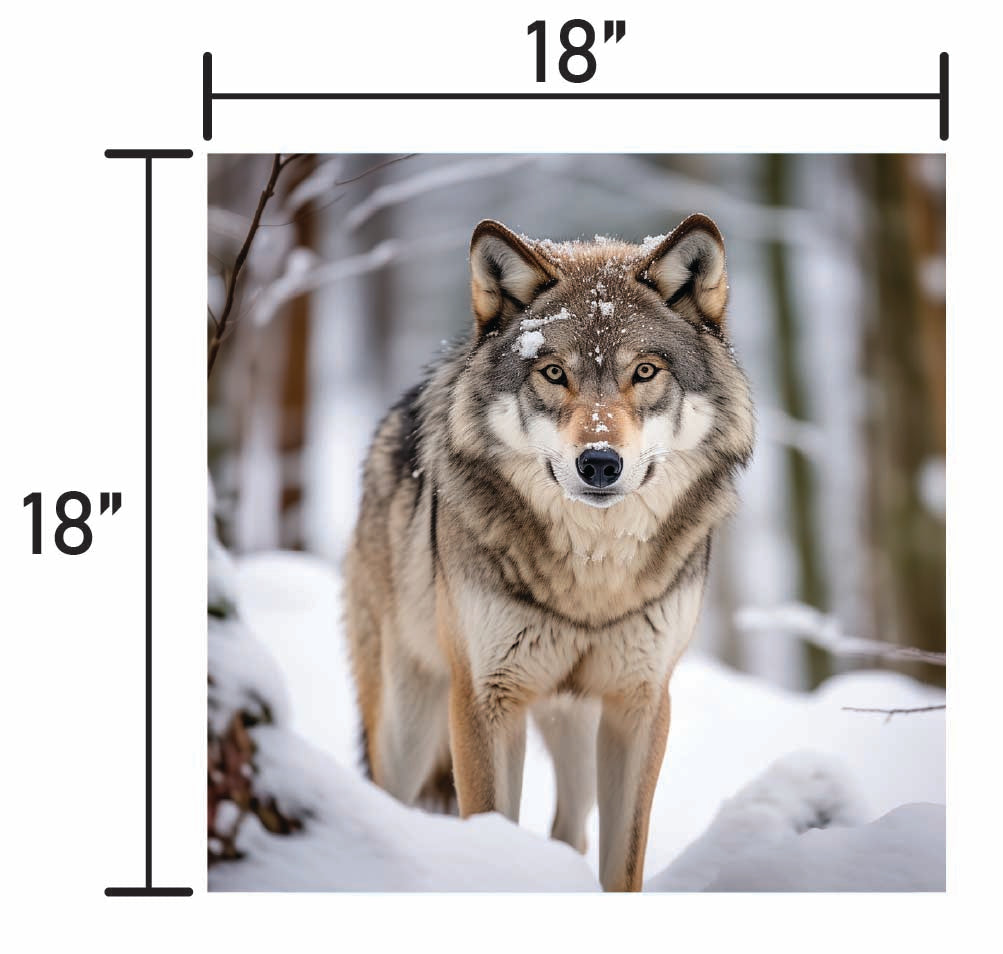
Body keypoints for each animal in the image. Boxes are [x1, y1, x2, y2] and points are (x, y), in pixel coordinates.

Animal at [344, 214, 754, 891]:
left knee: (570, 831)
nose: (600, 463)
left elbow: (623, 863)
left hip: (576, 725)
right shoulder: (483, 699)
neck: (593, 576)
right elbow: (491, 829)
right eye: (554, 373)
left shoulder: (640, 703)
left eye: (645, 372)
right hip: (408, 721)